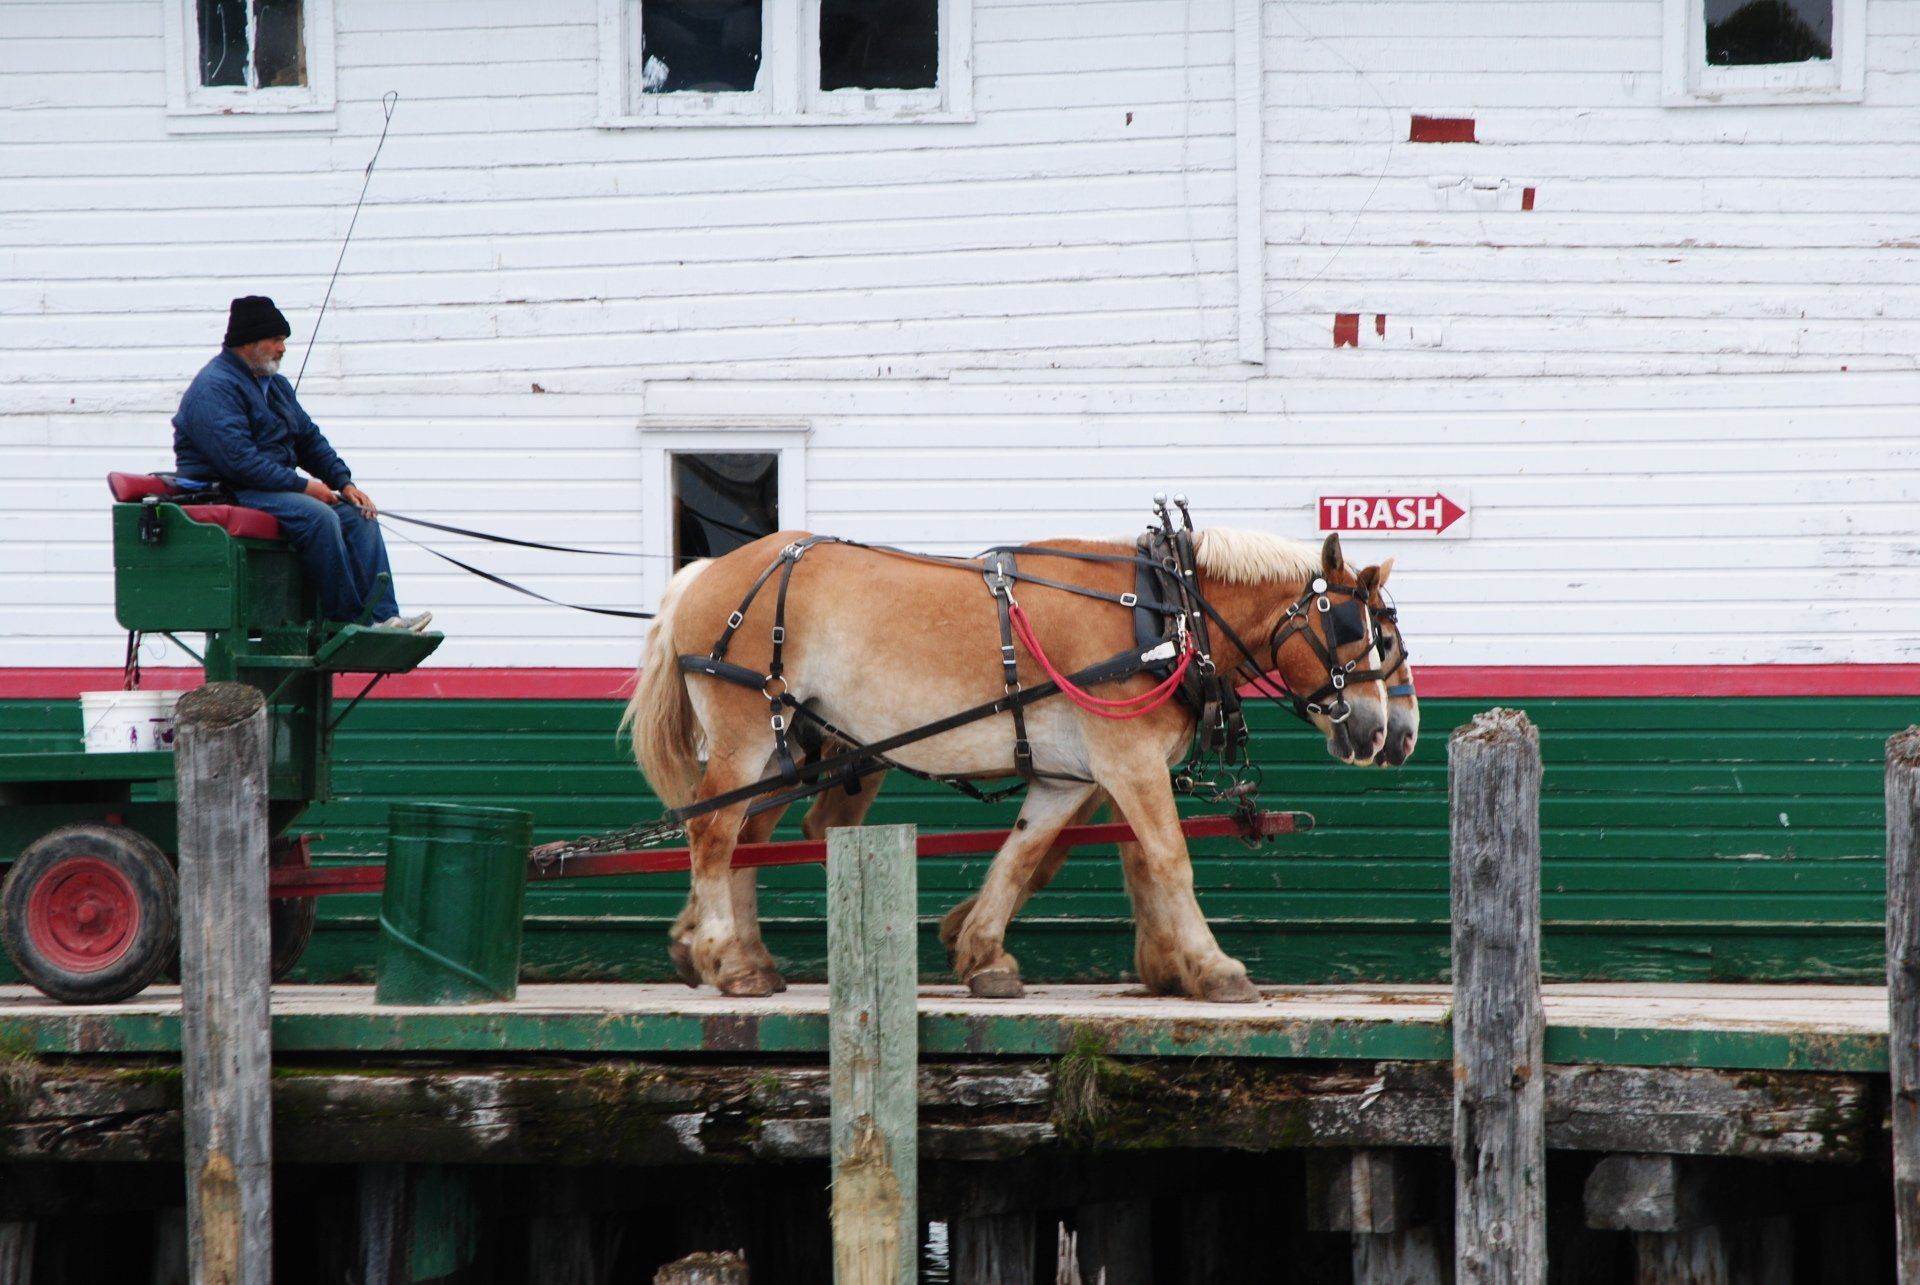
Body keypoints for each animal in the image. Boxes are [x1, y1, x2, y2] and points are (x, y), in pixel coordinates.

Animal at [623, 527, 1395, 1002]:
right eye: (1351, 629)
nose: (1379, 733)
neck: (1166, 613)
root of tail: (704, 572)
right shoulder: (1129, 760)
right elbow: (1169, 858)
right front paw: (1215, 969)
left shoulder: (1066, 775)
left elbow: (1023, 856)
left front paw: (982, 953)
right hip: (747, 734)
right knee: (713, 832)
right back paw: (726, 958)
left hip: (791, 745)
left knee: (747, 838)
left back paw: (740, 956)